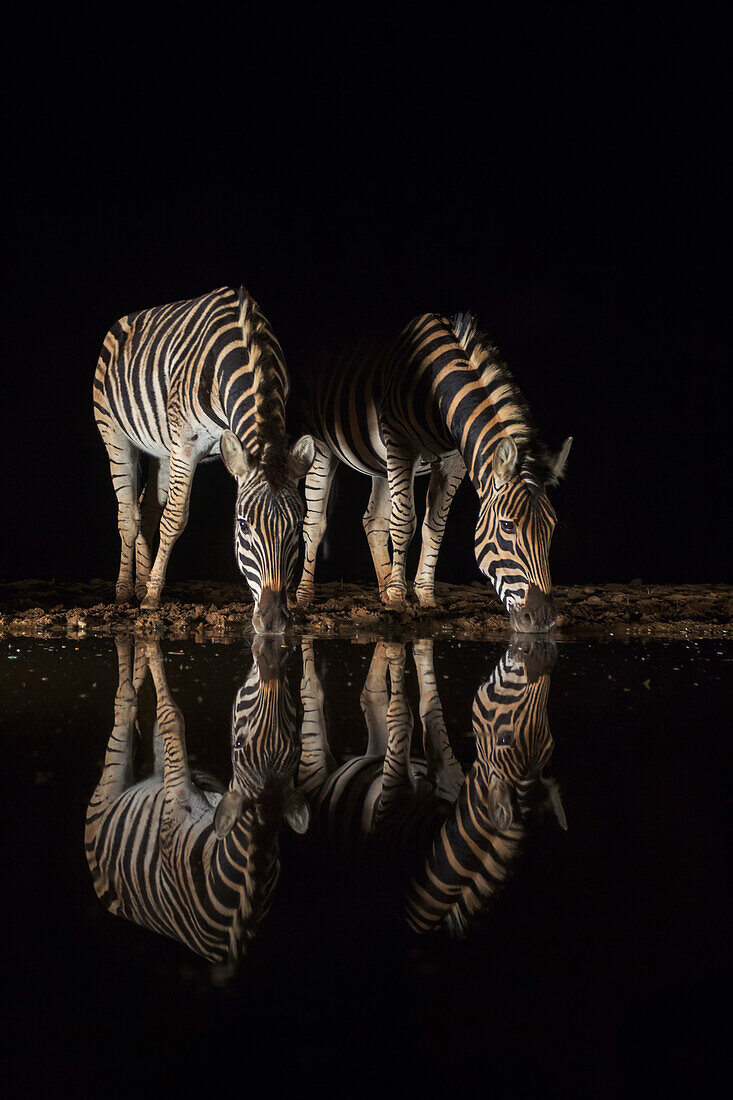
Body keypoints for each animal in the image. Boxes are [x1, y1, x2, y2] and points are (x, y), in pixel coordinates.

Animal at [84, 638, 308, 963]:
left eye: (238, 744)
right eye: (297, 745)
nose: (272, 659)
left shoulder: (174, 803)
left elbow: (170, 716)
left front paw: (151, 646)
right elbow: (166, 722)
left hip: (106, 796)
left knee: (126, 702)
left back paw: (136, 647)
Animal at [94, 283, 314, 633]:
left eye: (296, 526)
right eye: (243, 525)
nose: (272, 620)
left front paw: (151, 588)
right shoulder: (186, 442)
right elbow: (175, 518)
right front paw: (152, 598)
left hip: (161, 447)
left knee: (147, 508)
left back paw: (141, 583)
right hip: (114, 433)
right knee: (128, 514)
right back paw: (126, 592)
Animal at [294, 638, 559, 937]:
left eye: (549, 746)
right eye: (505, 737)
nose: (543, 656)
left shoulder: (435, 774)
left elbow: (416, 710)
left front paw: (407, 647)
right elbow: (414, 711)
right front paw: (406, 647)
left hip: (374, 758)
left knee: (370, 694)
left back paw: (383, 646)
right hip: (314, 769)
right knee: (311, 691)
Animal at [297, 314, 572, 633]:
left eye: (551, 527)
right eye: (507, 526)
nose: (542, 619)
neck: (437, 393)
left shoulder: (453, 462)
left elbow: (434, 527)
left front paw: (424, 597)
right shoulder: (401, 445)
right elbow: (404, 522)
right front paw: (399, 597)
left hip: (380, 460)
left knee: (373, 521)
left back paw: (384, 592)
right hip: (321, 443)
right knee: (315, 523)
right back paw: (305, 596)